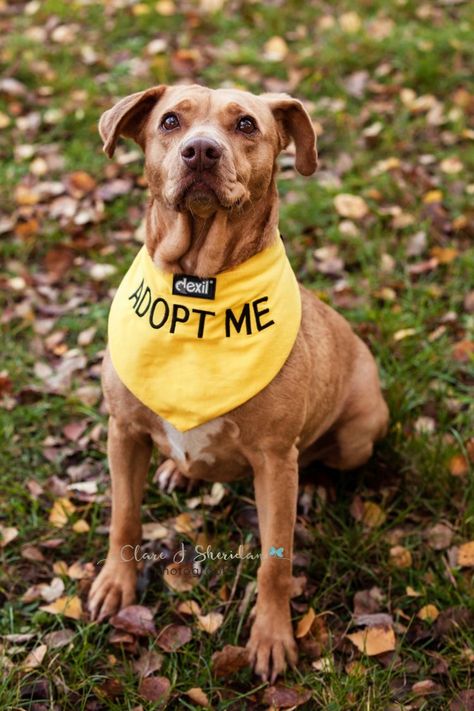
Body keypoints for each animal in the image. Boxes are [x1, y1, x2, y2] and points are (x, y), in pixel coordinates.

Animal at [88, 85, 388, 684]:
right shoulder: (123, 430)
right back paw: (176, 470)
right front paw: (116, 584)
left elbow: (276, 561)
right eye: (171, 121)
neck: (199, 288)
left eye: (246, 124)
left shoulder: (273, 460)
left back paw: (316, 486)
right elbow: (124, 519)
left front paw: (272, 638)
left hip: (358, 434)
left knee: (325, 457)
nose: (201, 151)